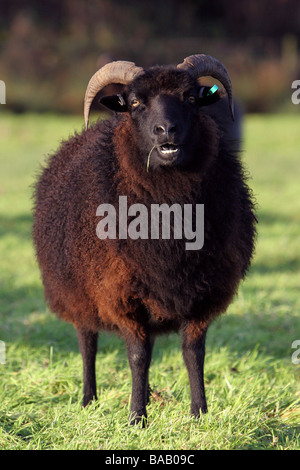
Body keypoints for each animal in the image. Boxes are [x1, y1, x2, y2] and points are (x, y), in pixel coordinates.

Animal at [33, 55, 258, 426]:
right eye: (136, 103)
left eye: (191, 98)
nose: (166, 130)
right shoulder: (121, 294)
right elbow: (137, 357)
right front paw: (136, 418)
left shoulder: (203, 295)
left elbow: (194, 354)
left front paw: (199, 413)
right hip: (77, 292)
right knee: (87, 342)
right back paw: (88, 399)